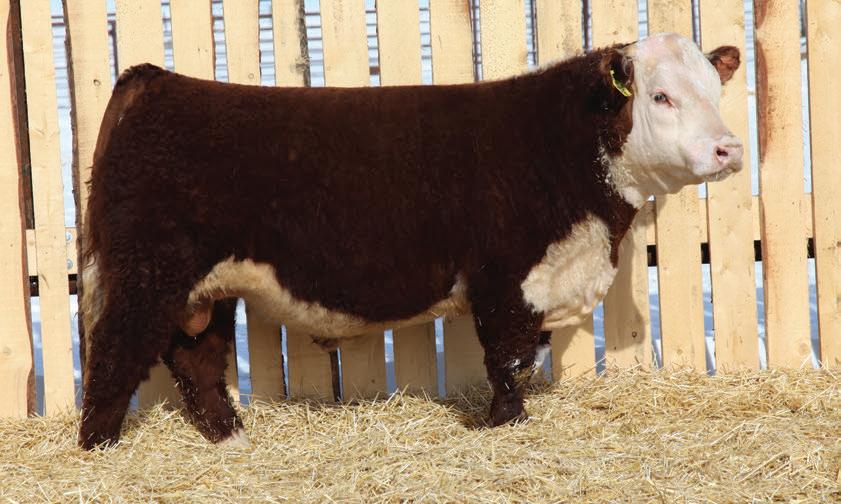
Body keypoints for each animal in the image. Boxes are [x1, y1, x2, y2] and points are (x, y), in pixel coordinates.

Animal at [77, 32, 742, 449]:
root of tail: (155, 80)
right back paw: (99, 449)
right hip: (147, 272)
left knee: (196, 357)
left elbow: (521, 361)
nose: (729, 149)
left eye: (716, 91)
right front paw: (504, 426)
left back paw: (231, 438)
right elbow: (509, 362)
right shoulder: (504, 280)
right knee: (112, 353)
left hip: (205, 288)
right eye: (661, 96)